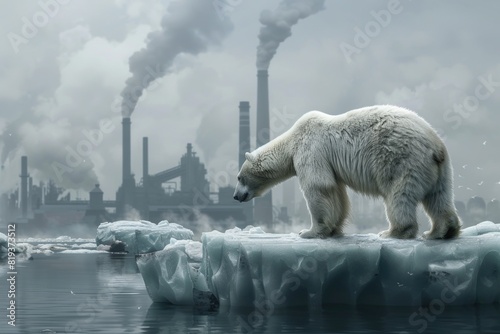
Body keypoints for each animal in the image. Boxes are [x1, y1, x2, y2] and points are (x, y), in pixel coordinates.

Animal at [233, 105, 460, 239]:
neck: (291, 141)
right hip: (440, 169)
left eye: (239, 177)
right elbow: (337, 192)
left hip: (402, 160)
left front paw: (309, 231)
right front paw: (334, 229)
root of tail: (435, 146)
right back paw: (440, 231)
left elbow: (318, 186)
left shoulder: (311, 150)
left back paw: (393, 232)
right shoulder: (329, 163)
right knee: (439, 197)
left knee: (399, 195)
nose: (235, 196)